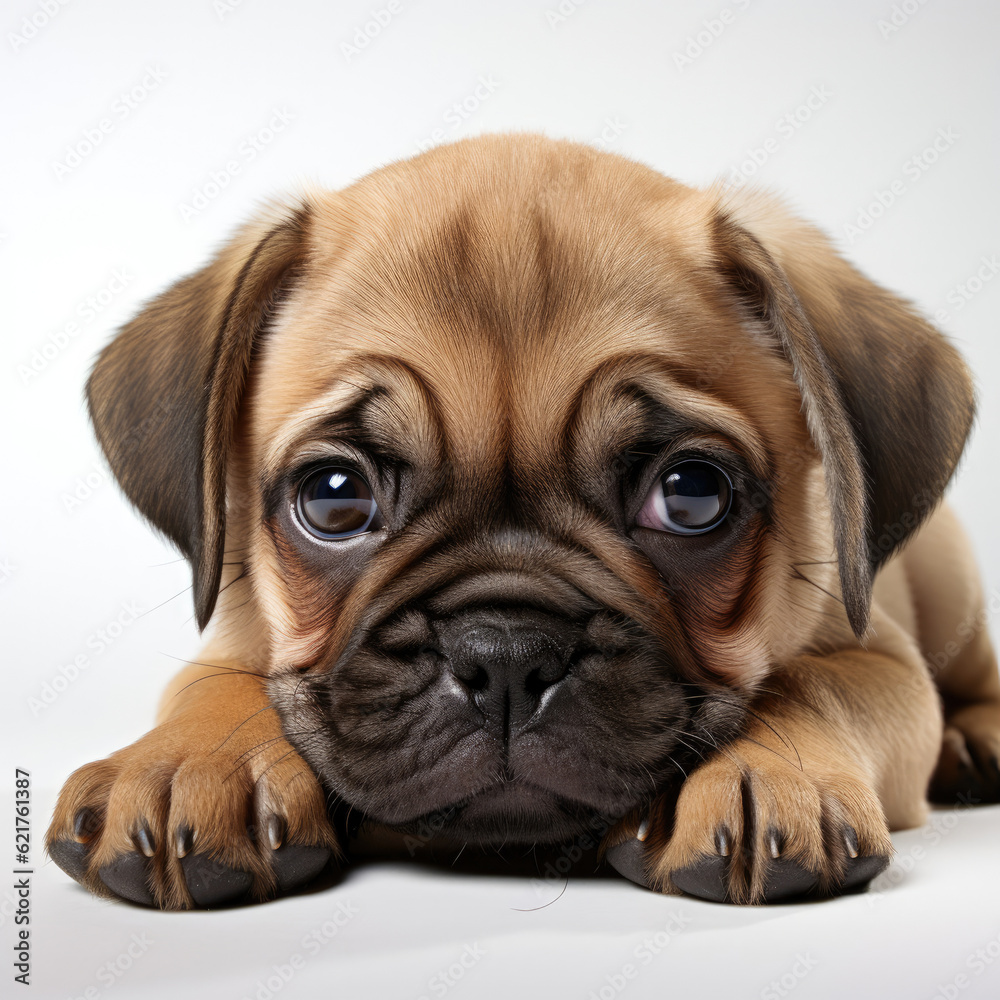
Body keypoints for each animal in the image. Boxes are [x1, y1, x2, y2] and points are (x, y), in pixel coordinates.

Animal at [47, 135, 1000, 916]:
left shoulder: (880, 657)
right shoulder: (235, 637)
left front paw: (766, 772)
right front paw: (190, 766)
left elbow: (811, 682)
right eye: (333, 498)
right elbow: (217, 683)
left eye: (691, 495)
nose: (505, 654)